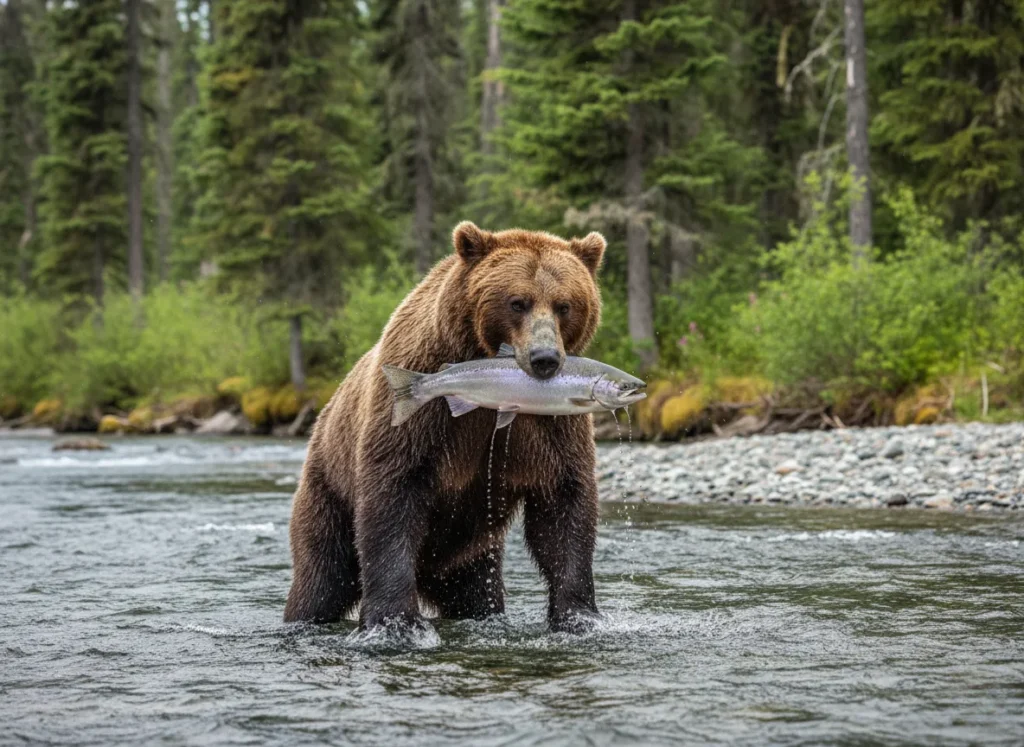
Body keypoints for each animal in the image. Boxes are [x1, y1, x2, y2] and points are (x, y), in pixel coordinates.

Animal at [284, 221, 607, 633]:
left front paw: (579, 615)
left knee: (478, 591)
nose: (545, 358)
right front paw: (395, 621)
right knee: (322, 575)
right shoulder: (423, 417)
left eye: (565, 305)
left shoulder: (549, 425)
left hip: (468, 555)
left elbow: (563, 503)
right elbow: (393, 494)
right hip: (328, 486)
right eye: (517, 302)